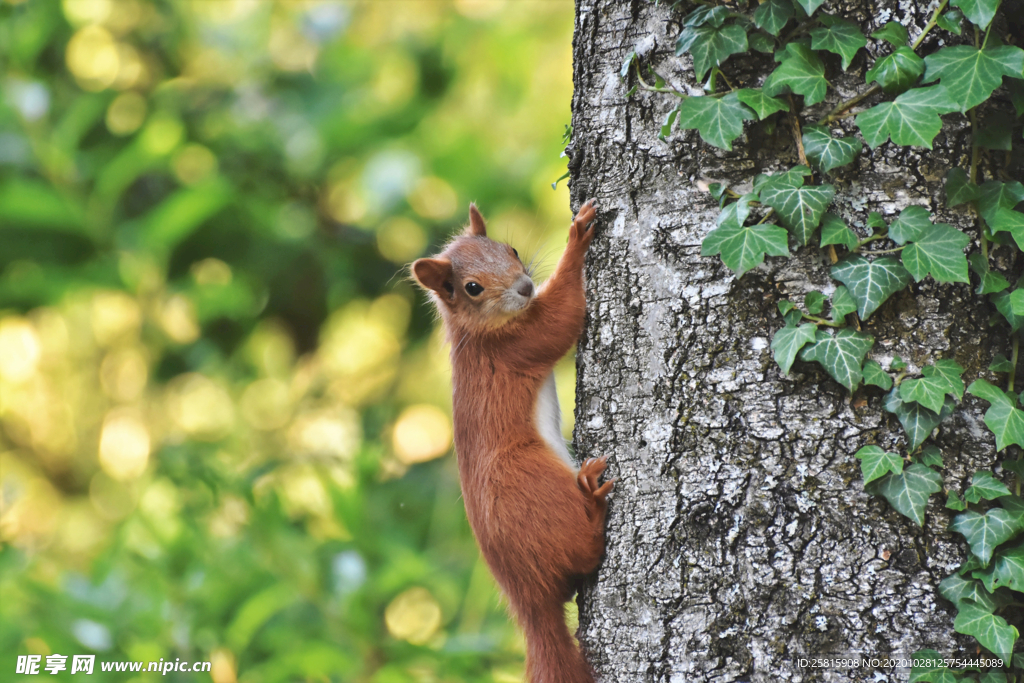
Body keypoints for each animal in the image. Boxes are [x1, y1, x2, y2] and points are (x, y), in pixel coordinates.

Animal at [411, 200, 610, 683]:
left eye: (511, 249)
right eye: (472, 287)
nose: (525, 286)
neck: (479, 332)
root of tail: (528, 599)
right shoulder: (516, 345)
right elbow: (562, 317)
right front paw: (576, 239)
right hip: (534, 483)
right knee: (586, 554)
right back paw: (593, 504)